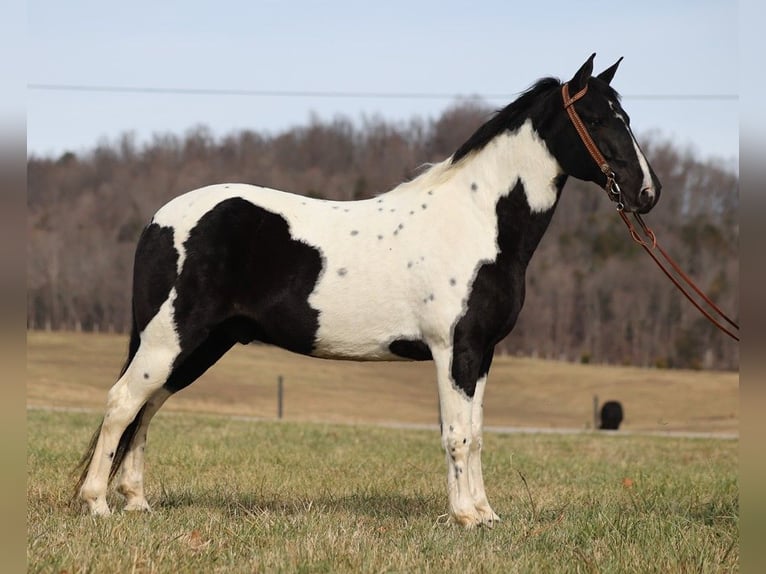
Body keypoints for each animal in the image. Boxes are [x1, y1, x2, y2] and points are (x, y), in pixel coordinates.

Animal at [76, 55, 660, 532]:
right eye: (598, 119)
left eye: (625, 116)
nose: (647, 193)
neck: (477, 221)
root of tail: (159, 220)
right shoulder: (454, 350)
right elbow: (457, 434)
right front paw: (466, 517)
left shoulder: (482, 353)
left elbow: (475, 432)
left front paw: (485, 514)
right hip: (169, 340)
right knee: (123, 402)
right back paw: (97, 504)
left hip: (196, 346)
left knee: (147, 408)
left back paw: (137, 503)